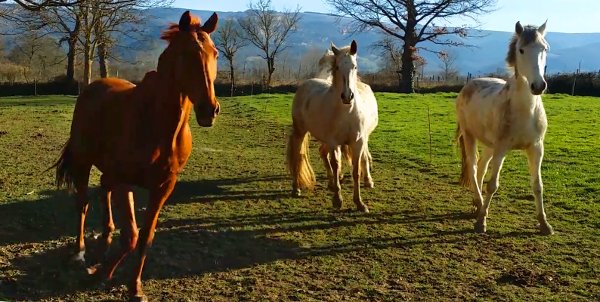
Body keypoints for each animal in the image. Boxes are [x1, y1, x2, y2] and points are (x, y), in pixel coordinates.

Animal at [50, 10, 218, 300]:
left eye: (215, 53)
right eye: (186, 54)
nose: (210, 109)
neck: (158, 124)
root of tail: (93, 87)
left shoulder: (163, 187)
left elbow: (145, 238)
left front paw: (134, 287)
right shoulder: (125, 182)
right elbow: (131, 236)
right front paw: (100, 274)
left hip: (108, 171)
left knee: (103, 190)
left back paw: (104, 240)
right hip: (84, 162)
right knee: (83, 203)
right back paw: (80, 252)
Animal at [288, 40, 380, 212]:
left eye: (354, 66)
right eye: (337, 67)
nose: (347, 96)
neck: (346, 112)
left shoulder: (357, 142)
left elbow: (356, 170)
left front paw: (359, 203)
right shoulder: (333, 143)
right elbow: (336, 166)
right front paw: (337, 200)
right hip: (300, 132)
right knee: (298, 156)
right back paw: (296, 189)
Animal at [458, 21, 556, 235]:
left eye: (544, 48)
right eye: (521, 50)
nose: (538, 86)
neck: (525, 111)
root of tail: (469, 85)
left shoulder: (536, 148)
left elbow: (537, 185)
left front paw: (544, 224)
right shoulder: (502, 149)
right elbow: (492, 185)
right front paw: (481, 223)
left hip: (489, 145)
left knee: (481, 168)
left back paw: (477, 205)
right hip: (470, 136)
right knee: (473, 167)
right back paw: (478, 205)